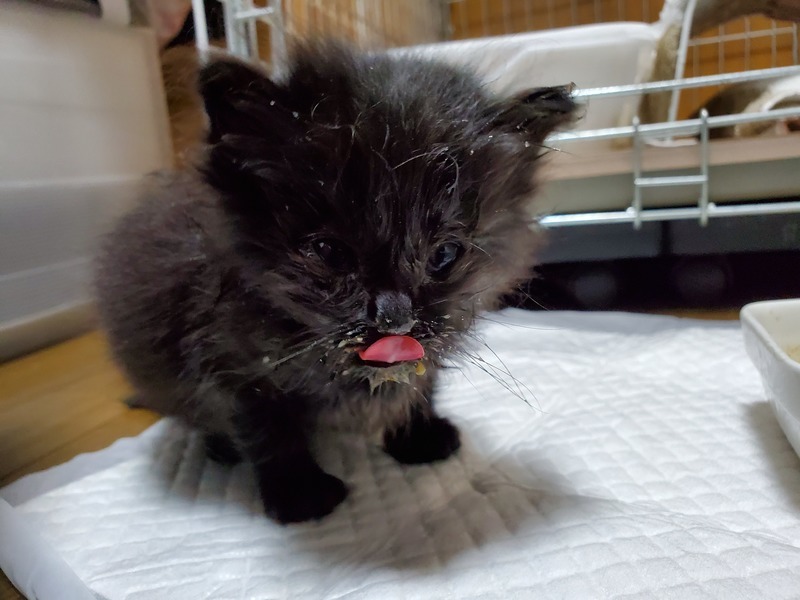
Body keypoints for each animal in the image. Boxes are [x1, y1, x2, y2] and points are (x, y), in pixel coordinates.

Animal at [94, 41, 574, 523]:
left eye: (444, 254)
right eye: (331, 252)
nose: (395, 320)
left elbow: (420, 384)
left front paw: (418, 437)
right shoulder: (233, 364)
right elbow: (269, 429)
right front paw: (300, 494)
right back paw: (220, 448)